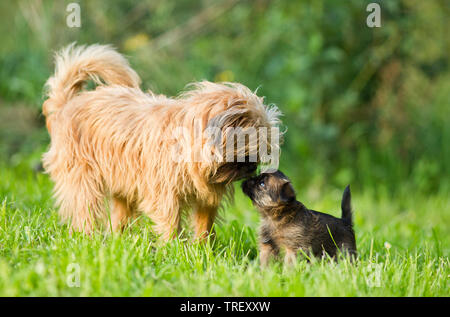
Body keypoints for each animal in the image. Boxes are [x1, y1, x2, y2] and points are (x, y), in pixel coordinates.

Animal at [42, 42, 282, 239]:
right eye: (249, 149)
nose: (253, 167)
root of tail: (66, 104)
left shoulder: (204, 199)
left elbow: (204, 225)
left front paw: (203, 250)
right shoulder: (165, 197)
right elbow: (171, 223)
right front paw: (173, 249)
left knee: (119, 215)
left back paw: (118, 239)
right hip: (83, 181)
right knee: (85, 210)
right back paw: (88, 238)